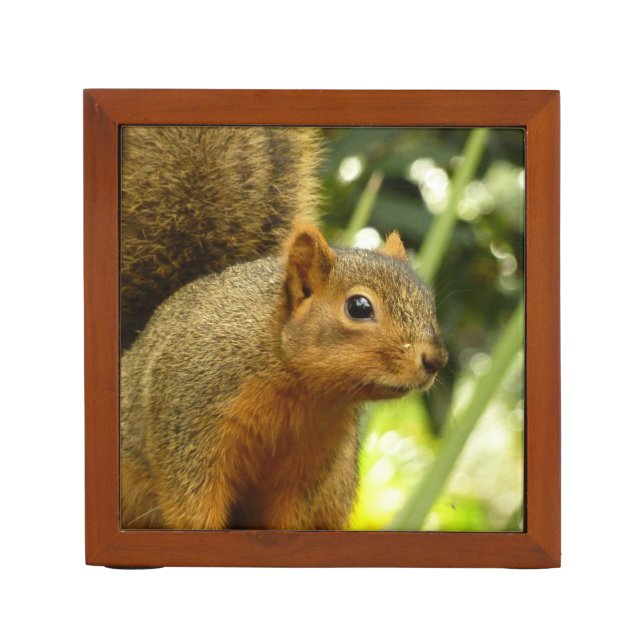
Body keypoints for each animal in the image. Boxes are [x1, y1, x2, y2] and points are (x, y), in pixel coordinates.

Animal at [119, 126, 448, 530]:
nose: (436, 359)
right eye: (359, 307)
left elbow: (288, 516)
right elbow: (192, 504)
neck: (300, 390)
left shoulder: (310, 462)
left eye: (428, 300)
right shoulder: (190, 425)